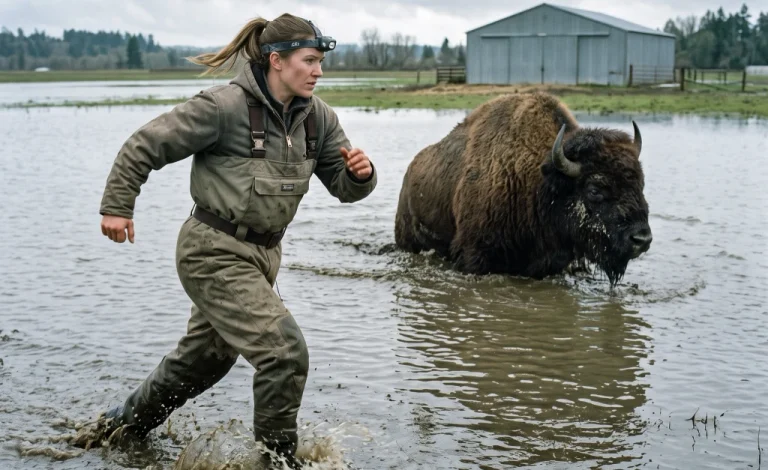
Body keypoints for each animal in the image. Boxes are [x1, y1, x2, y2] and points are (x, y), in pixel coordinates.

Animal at [394, 92, 652, 285]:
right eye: (595, 189)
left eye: (640, 184)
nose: (642, 239)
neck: (539, 182)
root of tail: (409, 172)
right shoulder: (474, 256)